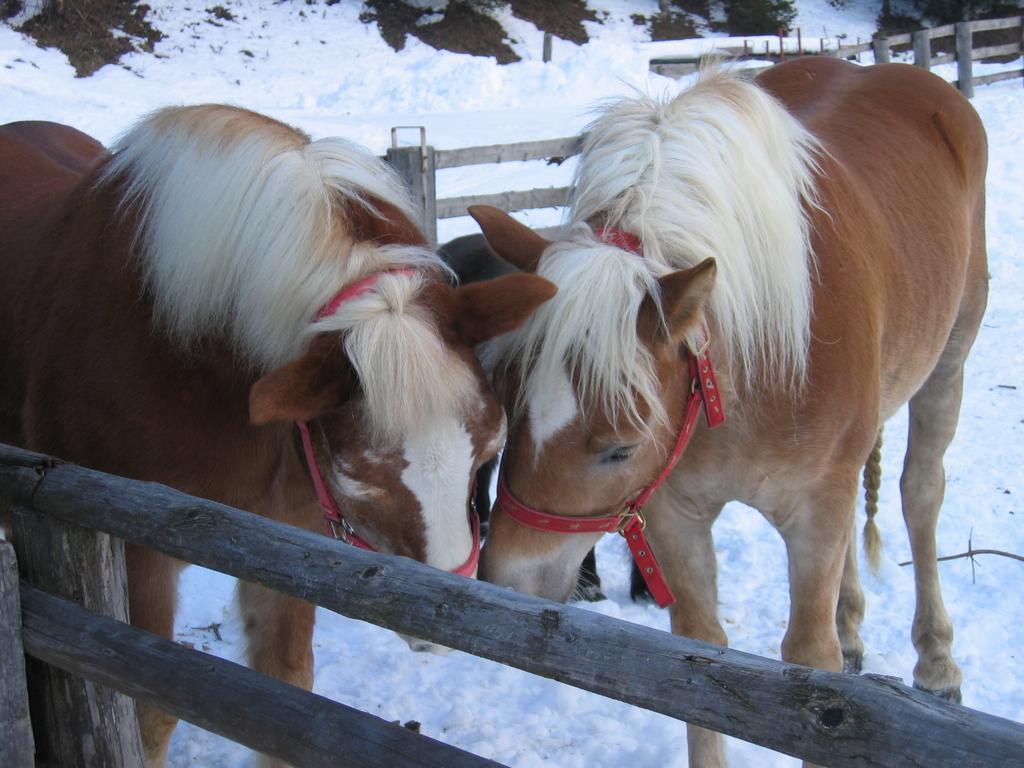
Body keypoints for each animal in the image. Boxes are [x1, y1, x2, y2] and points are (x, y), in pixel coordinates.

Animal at [0, 105, 557, 765]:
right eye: (360, 480)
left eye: (486, 453)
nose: (440, 631)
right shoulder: (132, 550)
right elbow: (146, 712)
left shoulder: (289, 542)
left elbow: (283, 694)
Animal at [468, 60, 983, 768]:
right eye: (508, 411)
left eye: (621, 448)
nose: (508, 579)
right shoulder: (674, 513)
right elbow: (699, 650)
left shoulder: (814, 509)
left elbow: (811, 668)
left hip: (950, 359)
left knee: (920, 494)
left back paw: (938, 664)